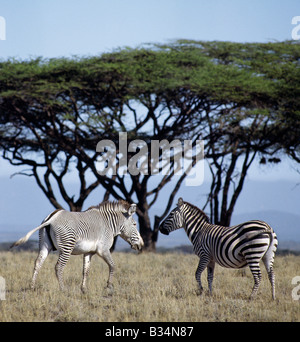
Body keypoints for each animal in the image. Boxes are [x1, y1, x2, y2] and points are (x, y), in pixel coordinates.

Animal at [11, 200, 144, 294]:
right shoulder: (103, 249)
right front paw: (109, 286)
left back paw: (32, 287)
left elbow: (86, 270)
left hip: (44, 245)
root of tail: (51, 218)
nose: (141, 245)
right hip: (67, 247)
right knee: (58, 267)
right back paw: (63, 289)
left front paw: (84, 289)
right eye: (135, 224)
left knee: (38, 262)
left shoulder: (89, 252)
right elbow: (113, 265)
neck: (108, 224)